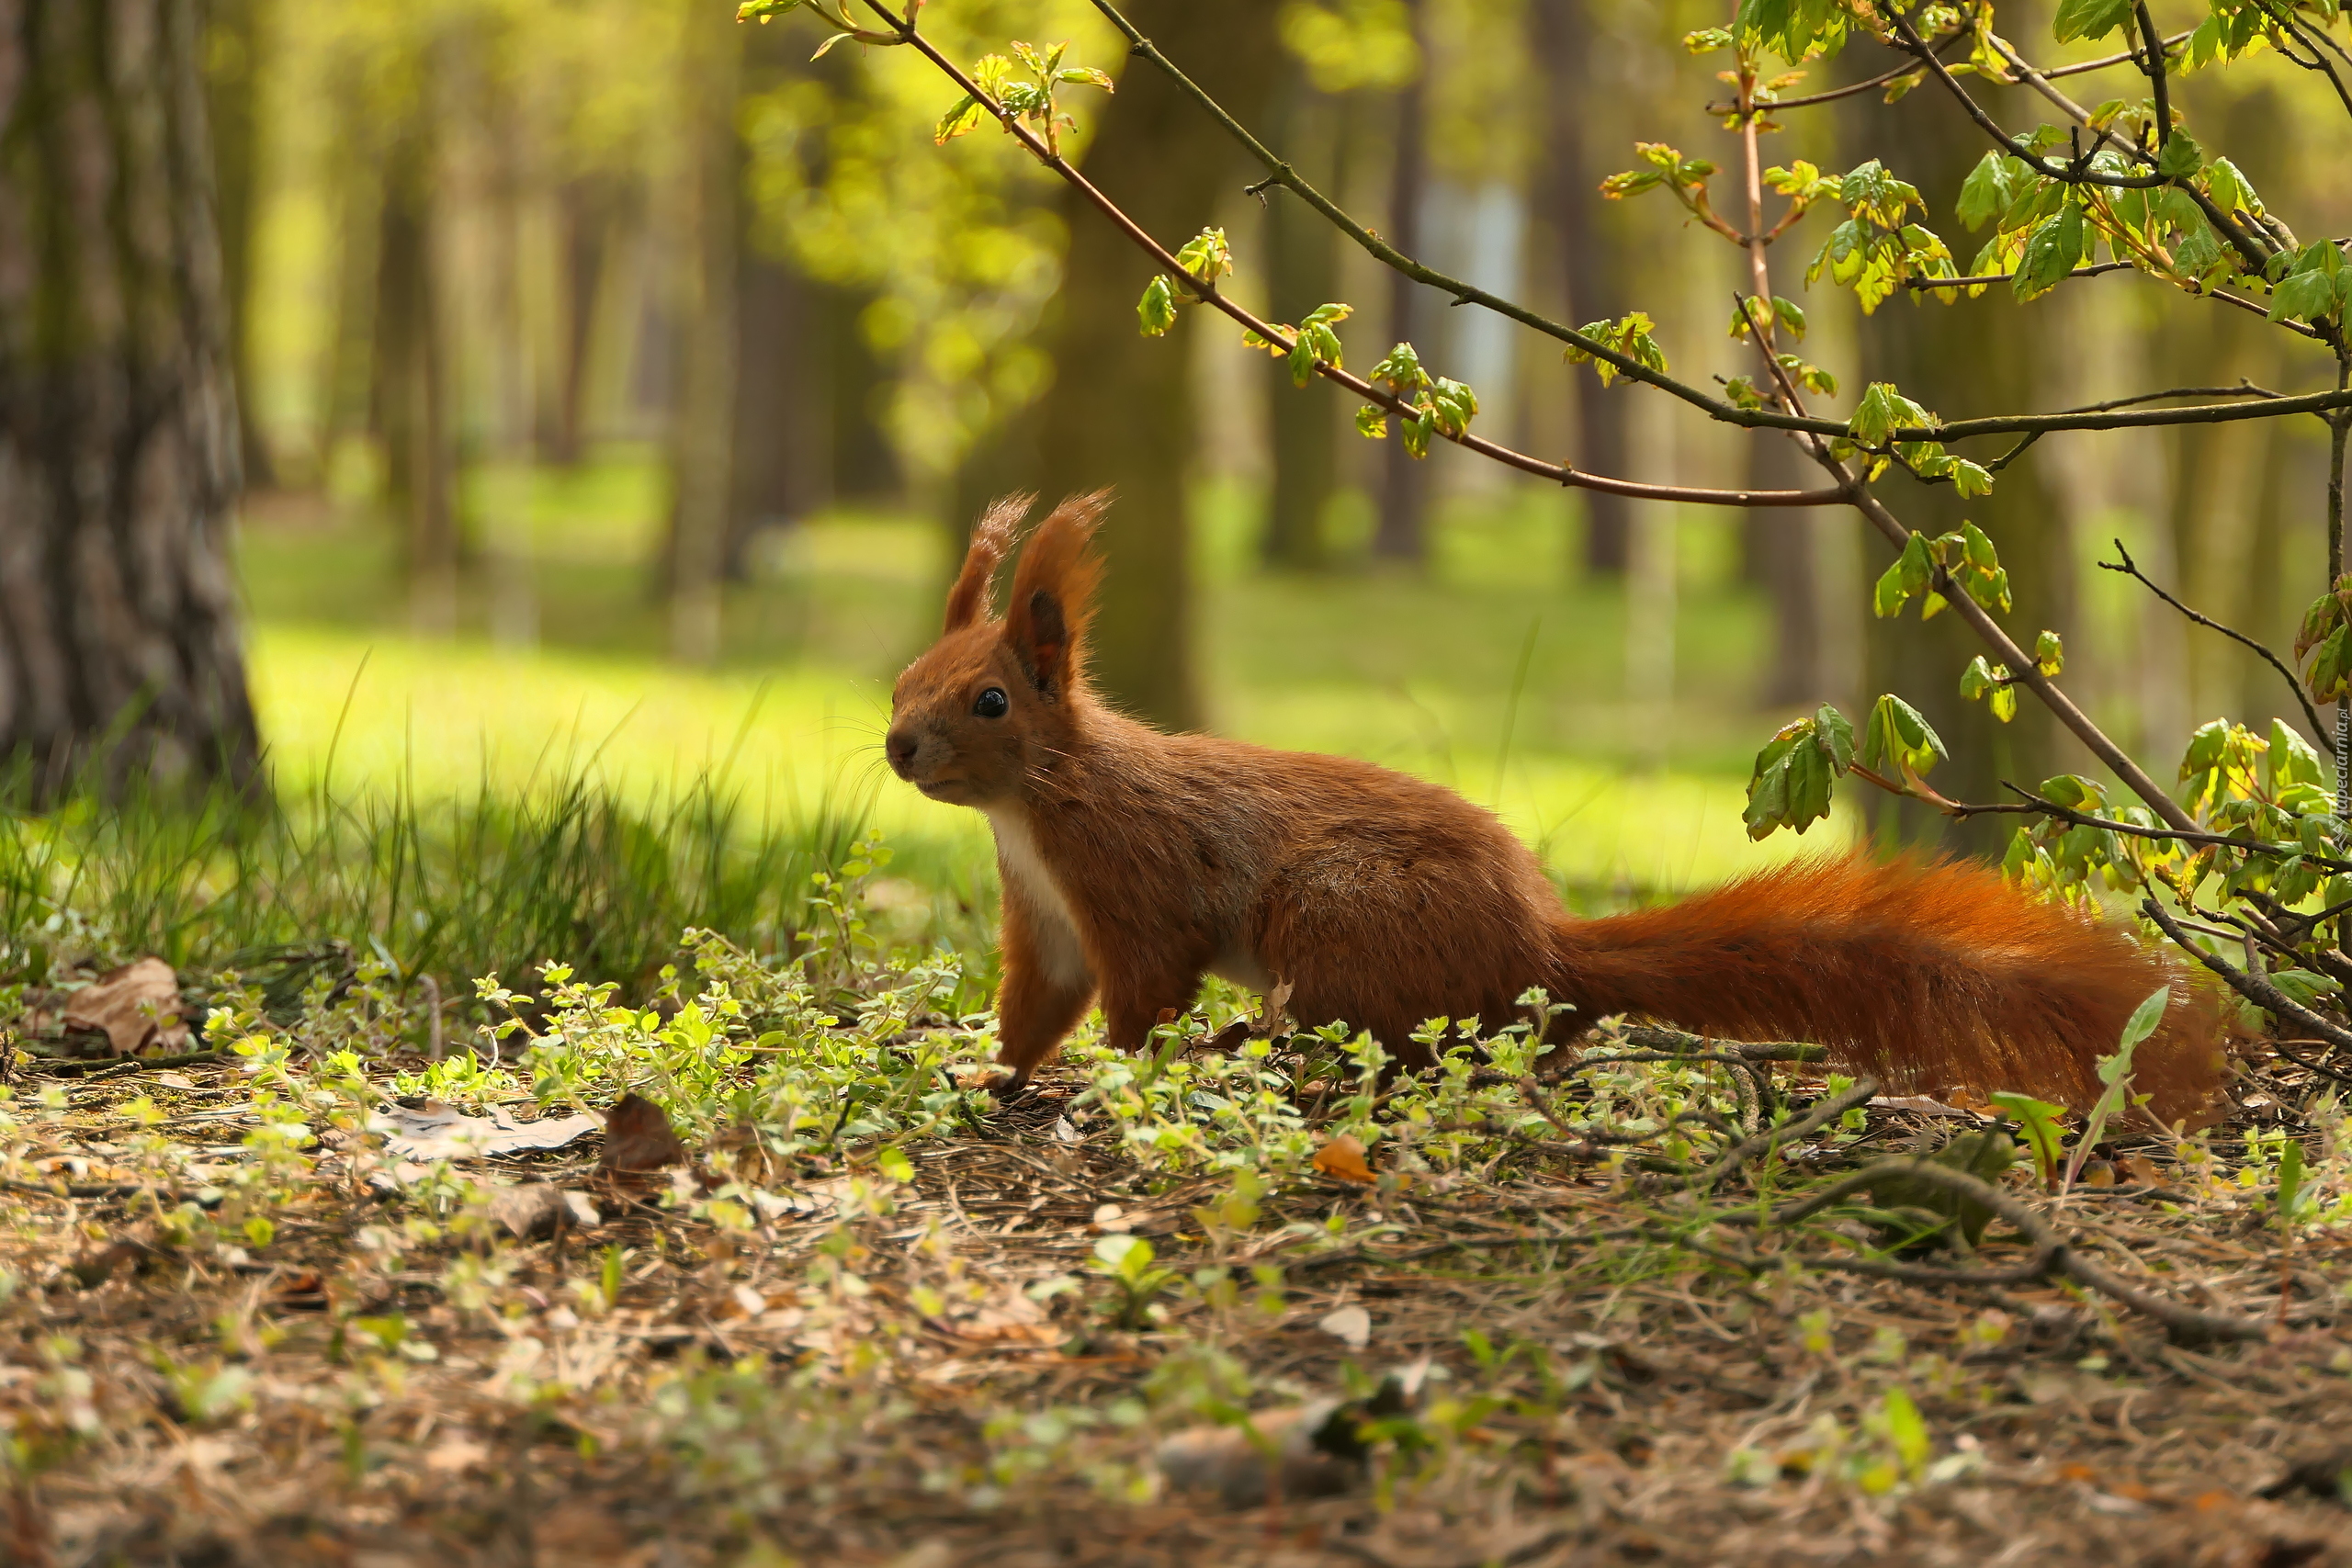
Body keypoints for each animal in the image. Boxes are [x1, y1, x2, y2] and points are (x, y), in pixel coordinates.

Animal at [884, 495, 2220, 1123]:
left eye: (989, 699)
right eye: (904, 678)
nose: (897, 744)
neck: (1039, 806)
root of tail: (1539, 955)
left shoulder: (1137, 885)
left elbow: (1142, 997)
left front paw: (1112, 1079)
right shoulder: (1045, 919)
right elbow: (1034, 1008)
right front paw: (991, 1074)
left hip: (1338, 918)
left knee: (1388, 1044)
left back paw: (1263, 1053)